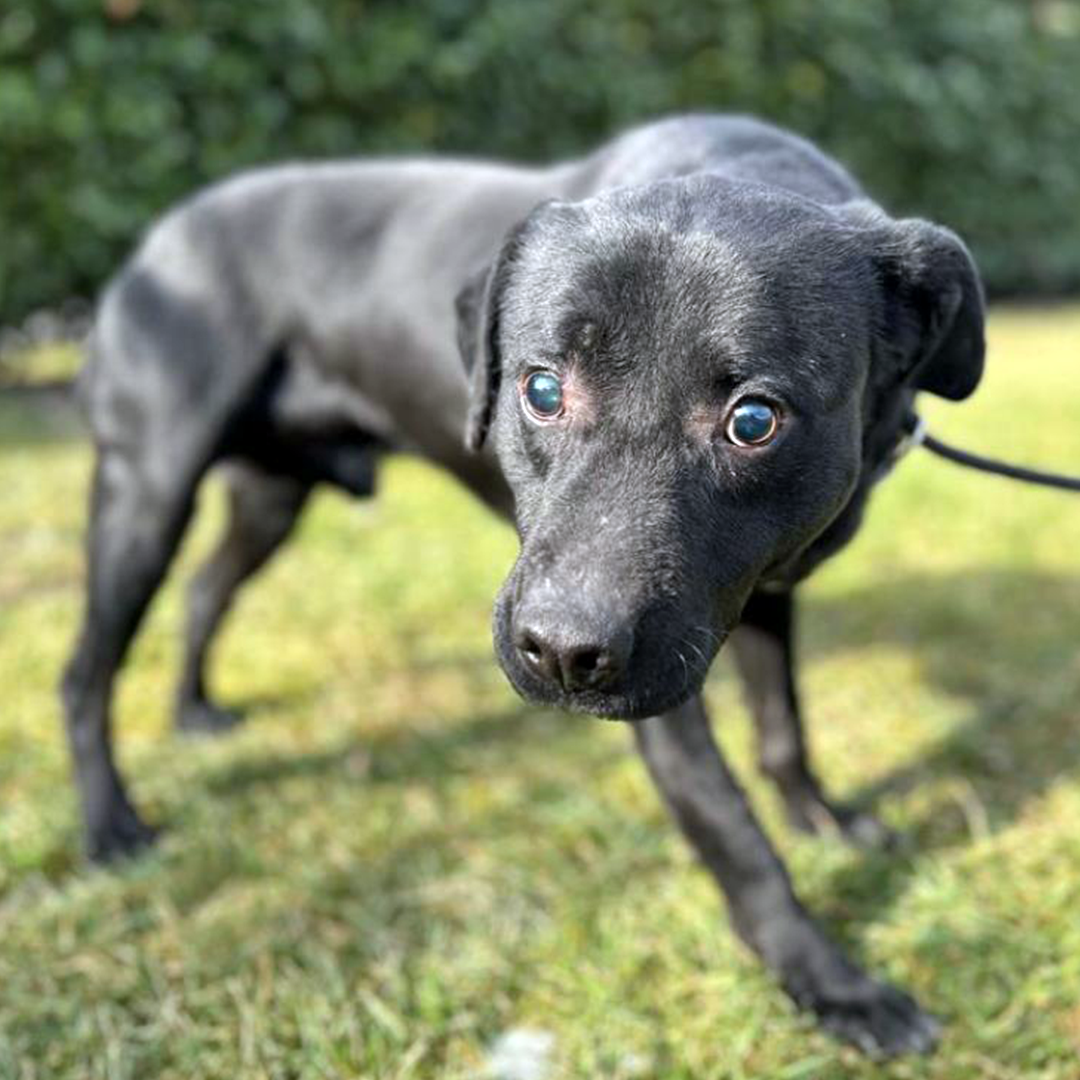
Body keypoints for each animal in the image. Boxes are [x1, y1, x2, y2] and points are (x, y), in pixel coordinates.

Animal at [63, 116, 984, 1054]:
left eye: (754, 420)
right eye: (541, 388)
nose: (563, 655)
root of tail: (162, 235)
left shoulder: (754, 590)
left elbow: (782, 727)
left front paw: (822, 820)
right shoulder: (663, 677)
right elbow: (727, 824)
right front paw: (832, 984)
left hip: (269, 500)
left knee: (204, 591)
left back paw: (193, 711)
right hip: (146, 489)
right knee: (87, 669)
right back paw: (110, 825)